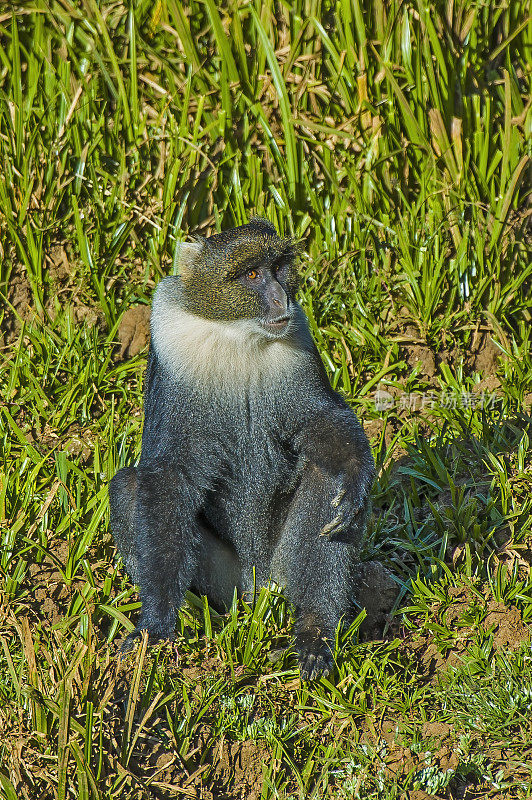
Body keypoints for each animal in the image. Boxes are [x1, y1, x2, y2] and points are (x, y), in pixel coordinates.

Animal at [109, 216, 374, 680]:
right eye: (251, 275)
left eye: (278, 267)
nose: (280, 297)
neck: (237, 334)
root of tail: (258, 583)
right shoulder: (174, 355)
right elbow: (169, 475)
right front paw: (155, 624)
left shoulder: (298, 348)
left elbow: (319, 421)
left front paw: (356, 472)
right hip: (226, 579)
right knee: (128, 488)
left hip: (284, 563)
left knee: (326, 478)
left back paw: (314, 630)